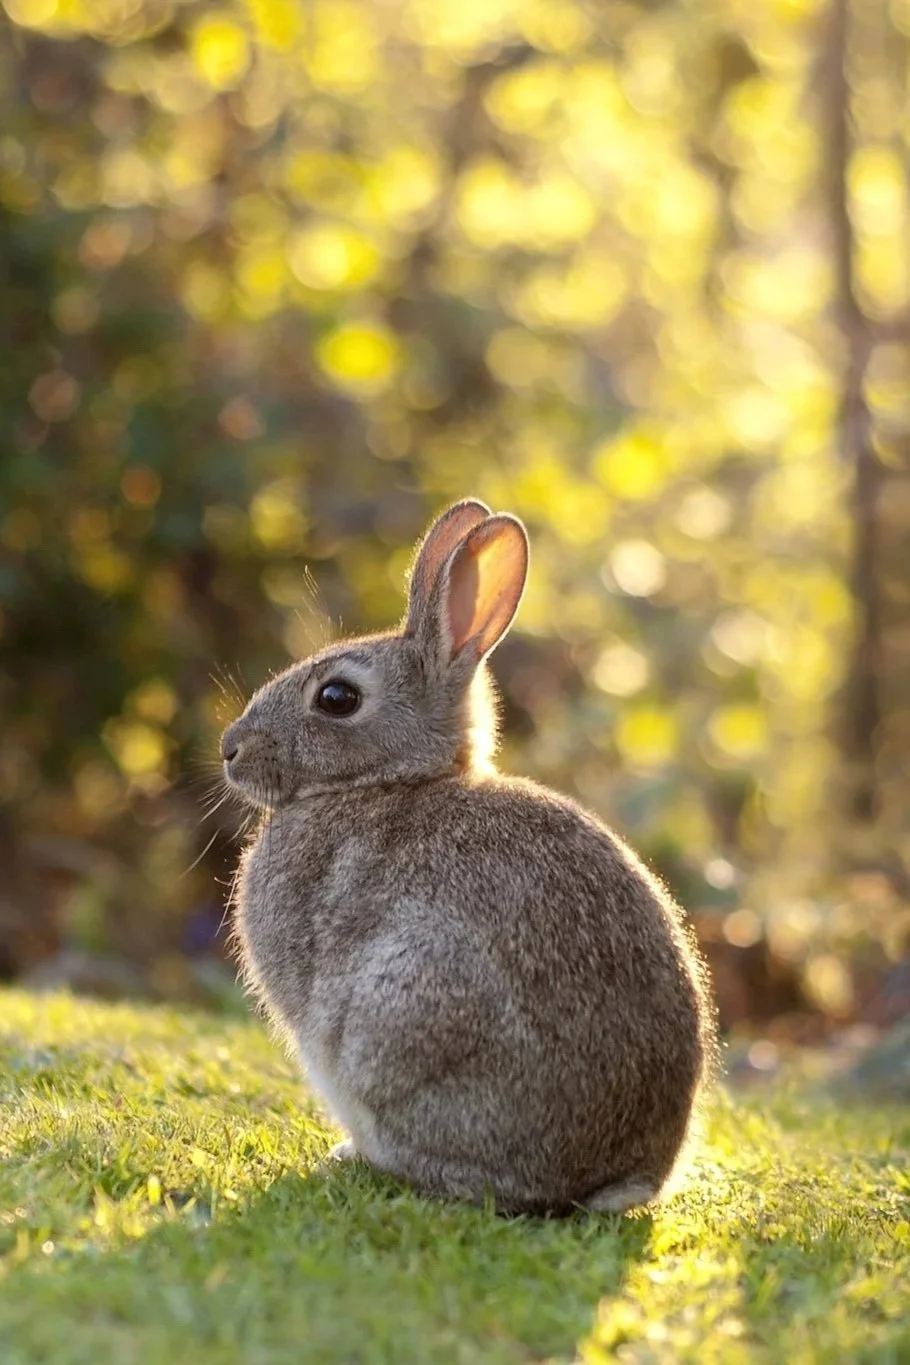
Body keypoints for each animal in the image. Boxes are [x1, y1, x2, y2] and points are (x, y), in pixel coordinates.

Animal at [221, 499, 717, 1215]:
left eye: (337, 698)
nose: (229, 749)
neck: (387, 781)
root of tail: (612, 1178)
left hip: (405, 1010)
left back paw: (360, 1157)